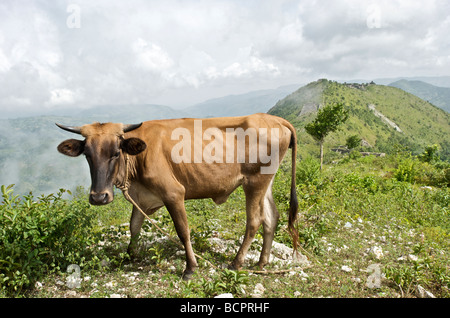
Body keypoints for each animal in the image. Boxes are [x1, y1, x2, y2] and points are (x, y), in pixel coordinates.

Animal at [57, 113, 298, 280]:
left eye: (116, 152)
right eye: (87, 155)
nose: (99, 197)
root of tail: (276, 119)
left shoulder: (173, 193)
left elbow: (183, 231)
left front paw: (190, 268)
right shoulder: (141, 196)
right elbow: (134, 226)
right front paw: (130, 256)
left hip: (254, 182)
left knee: (255, 221)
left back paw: (236, 263)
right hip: (267, 181)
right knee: (272, 218)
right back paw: (262, 262)